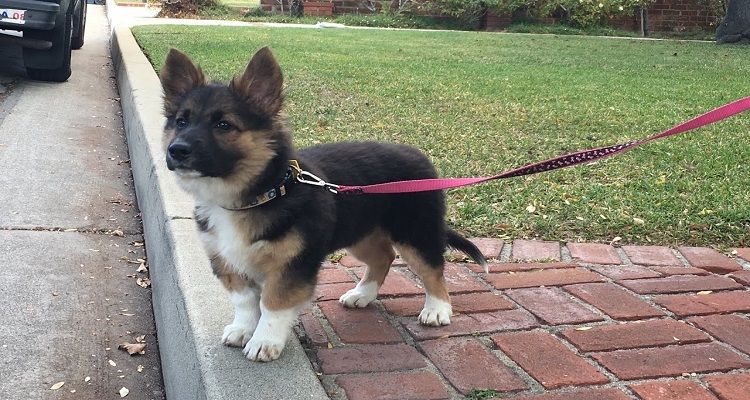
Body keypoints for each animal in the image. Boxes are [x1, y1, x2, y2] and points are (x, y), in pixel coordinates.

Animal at [160, 47, 488, 362]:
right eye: (181, 122)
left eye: (224, 125)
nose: (176, 151)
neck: (261, 193)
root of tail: (420, 157)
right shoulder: (225, 259)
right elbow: (244, 301)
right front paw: (243, 329)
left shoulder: (293, 264)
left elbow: (272, 304)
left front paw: (265, 341)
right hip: (361, 233)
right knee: (383, 257)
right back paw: (362, 295)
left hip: (414, 232)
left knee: (432, 268)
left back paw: (437, 309)